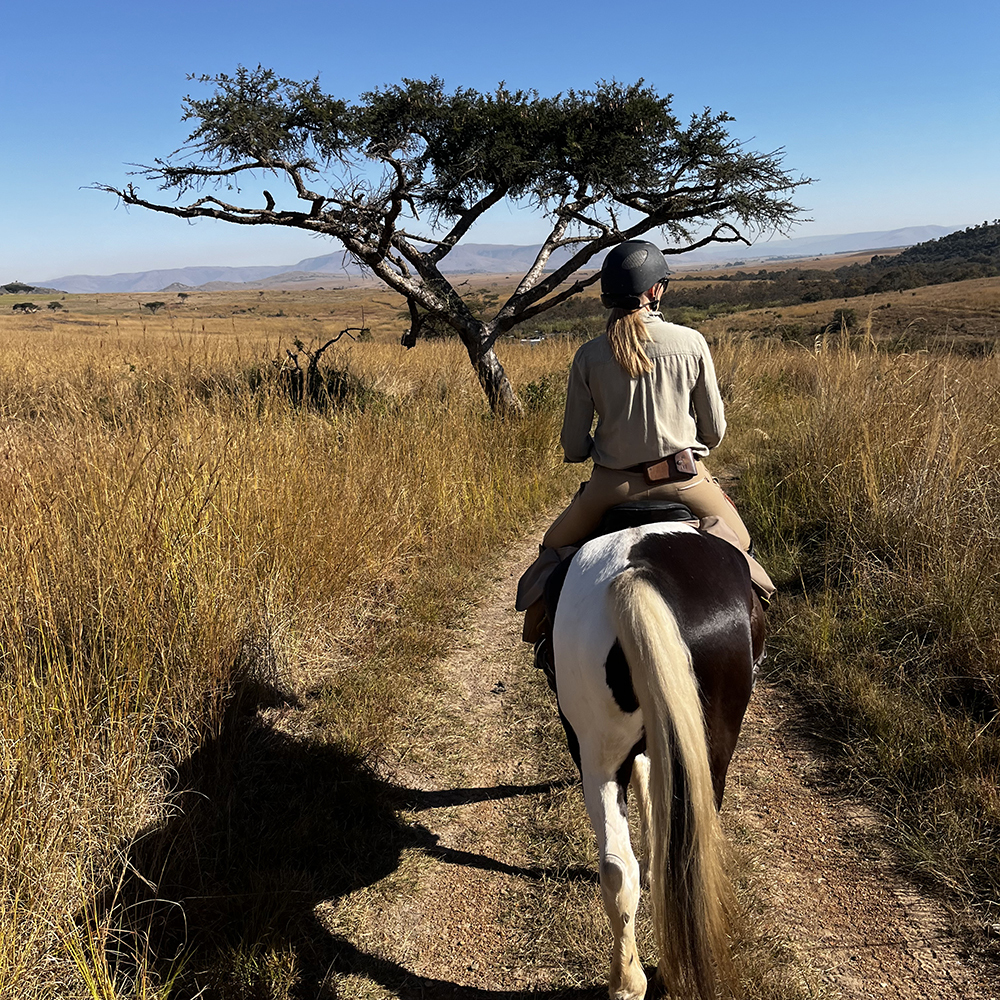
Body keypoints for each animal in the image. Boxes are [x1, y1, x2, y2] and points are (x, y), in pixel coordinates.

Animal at [550, 514, 763, 1000]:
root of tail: (639, 572)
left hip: (599, 755)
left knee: (618, 866)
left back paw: (630, 982)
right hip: (705, 749)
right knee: (677, 859)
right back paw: (654, 975)